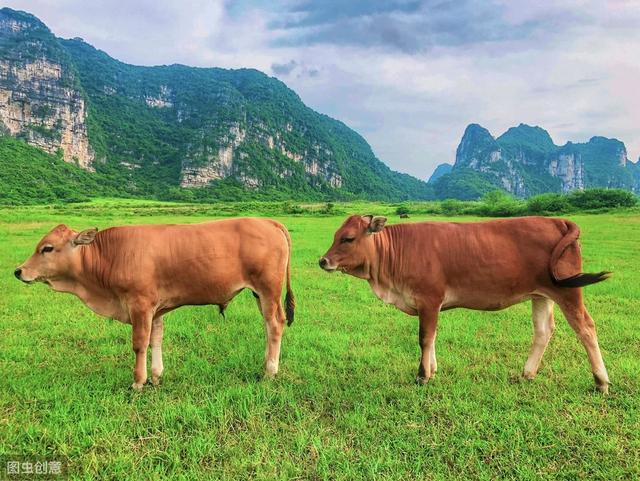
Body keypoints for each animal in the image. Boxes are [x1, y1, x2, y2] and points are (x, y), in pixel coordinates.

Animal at [15, 218, 296, 390]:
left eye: (47, 248)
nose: (19, 271)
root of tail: (267, 221)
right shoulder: (156, 309)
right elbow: (156, 339)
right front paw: (157, 376)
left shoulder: (140, 304)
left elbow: (139, 344)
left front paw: (138, 382)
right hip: (259, 294)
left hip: (268, 290)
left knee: (275, 325)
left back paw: (270, 372)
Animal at [322, 216, 612, 392]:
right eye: (335, 234)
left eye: (348, 238)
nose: (323, 261)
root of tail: (556, 219)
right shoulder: (431, 305)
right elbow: (433, 336)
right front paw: (433, 370)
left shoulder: (429, 298)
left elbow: (425, 338)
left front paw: (422, 375)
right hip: (542, 295)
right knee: (543, 331)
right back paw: (527, 373)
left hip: (568, 291)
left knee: (586, 328)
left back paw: (601, 381)